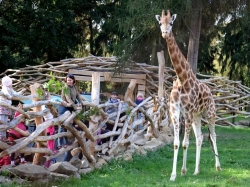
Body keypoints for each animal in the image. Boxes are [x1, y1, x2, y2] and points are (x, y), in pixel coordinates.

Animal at [155, 9, 222, 181]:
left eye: (171, 22)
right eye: (160, 22)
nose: (165, 33)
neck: (182, 78)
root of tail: (211, 92)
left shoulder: (188, 112)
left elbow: (185, 143)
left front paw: (182, 170)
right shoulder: (175, 111)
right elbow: (177, 143)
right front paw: (175, 174)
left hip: (210, 113)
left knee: (213, 135)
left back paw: (218, 167)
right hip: (197, 116)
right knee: (200, 138)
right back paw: (197, 170)